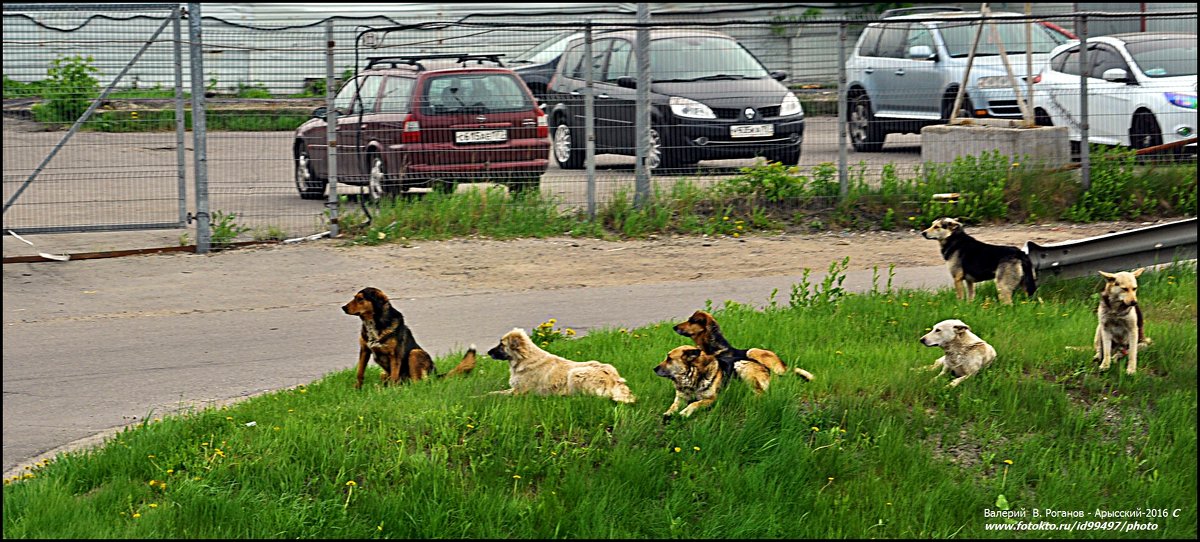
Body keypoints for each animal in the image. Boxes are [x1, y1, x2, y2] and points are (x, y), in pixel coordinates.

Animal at [340, 285, 475, 388]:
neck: (374, 323)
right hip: (383, 373)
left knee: (417, 382)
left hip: (414, 353)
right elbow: (360, 372)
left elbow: (394, 376)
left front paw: (392, 392)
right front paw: (357, 389)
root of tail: (435, 375)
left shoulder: (394, 355)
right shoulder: (364, 351)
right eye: (355, 298)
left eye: (360, 299)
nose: (343, 307)